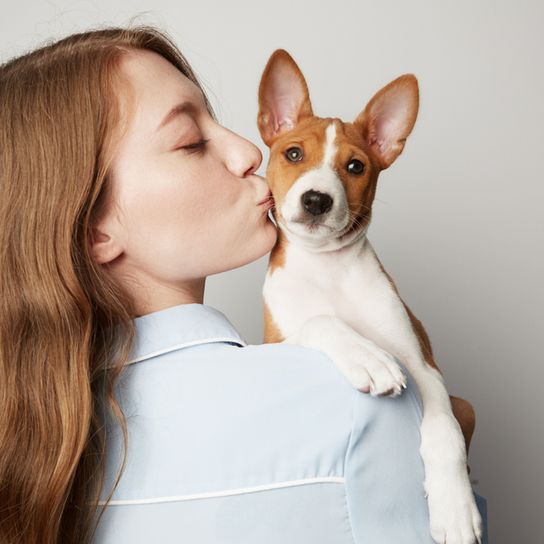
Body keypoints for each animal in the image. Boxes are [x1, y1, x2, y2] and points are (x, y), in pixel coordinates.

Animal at [258, 47, 482, 544]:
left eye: (356, 166)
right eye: (293, 153)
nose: (317, 200)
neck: (327, 269)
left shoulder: (424, 367)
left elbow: (444, 434)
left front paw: (455, 508)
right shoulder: (274, 344)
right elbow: (321, 321)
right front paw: (367, 356)